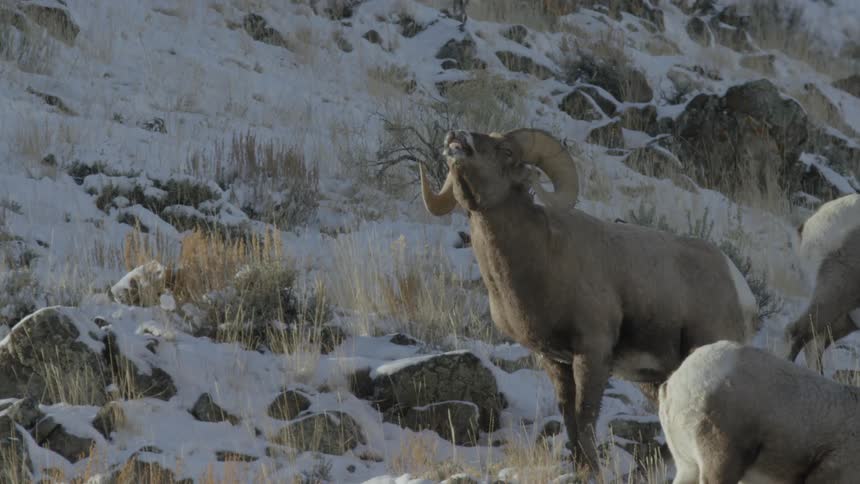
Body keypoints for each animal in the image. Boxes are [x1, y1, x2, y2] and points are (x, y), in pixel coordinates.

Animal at [419, 128, 760, 472]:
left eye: (506, 152)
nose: (457, 138)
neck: (542, 258)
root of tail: (739, 286)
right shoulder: (554, 360)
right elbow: (569, 419)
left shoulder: (592, 353)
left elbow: (584, 419)